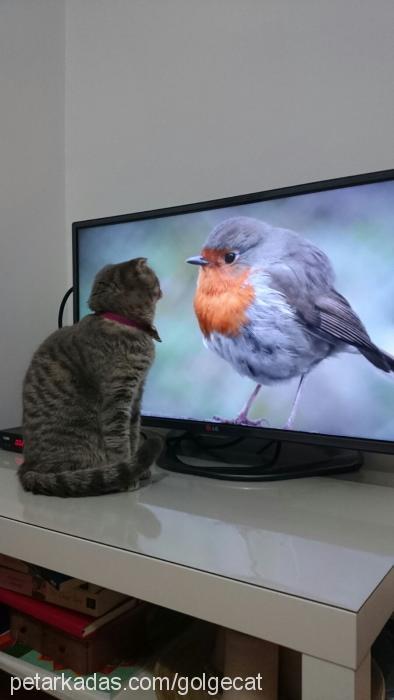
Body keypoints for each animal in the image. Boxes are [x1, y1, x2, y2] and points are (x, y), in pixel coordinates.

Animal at [18, 258, 163, 498]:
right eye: (156, 279)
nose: (163, 289)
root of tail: (26, 469)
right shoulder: (117, 396)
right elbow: (119, 441)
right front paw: (128, 473)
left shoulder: (136, 395)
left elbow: (133, 435)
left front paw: (138, 469)